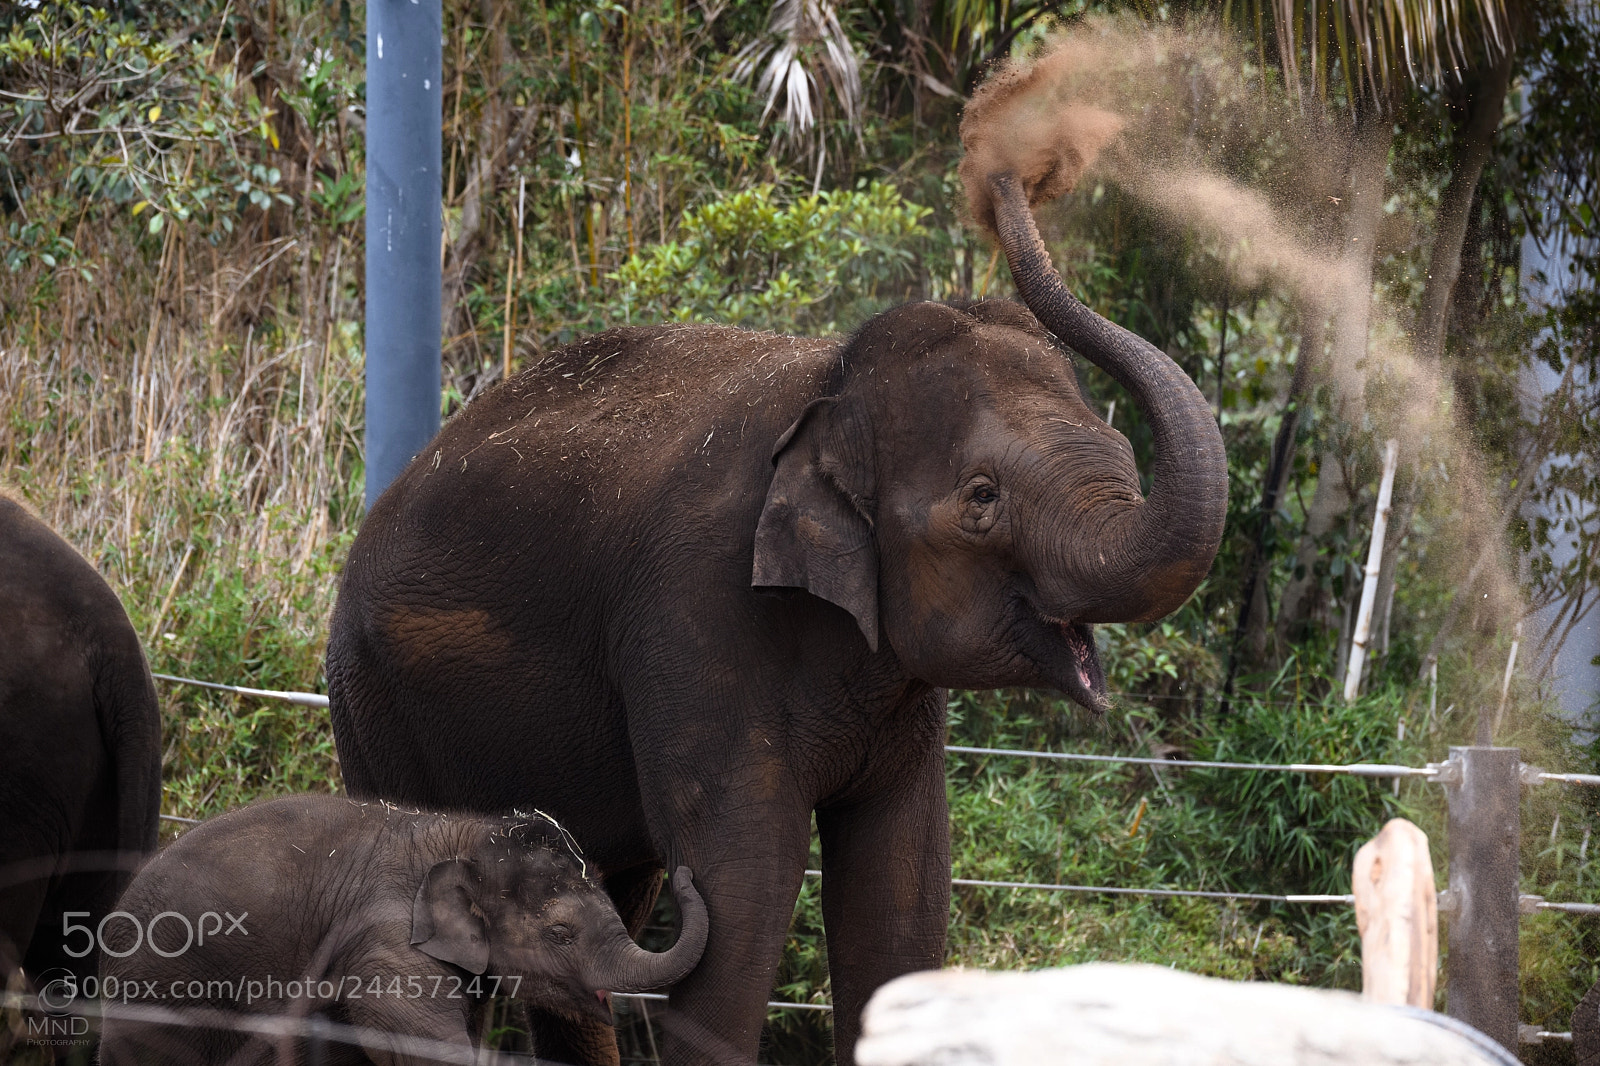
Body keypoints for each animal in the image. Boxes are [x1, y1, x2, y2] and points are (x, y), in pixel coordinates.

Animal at [325, 168, 1228, 1066]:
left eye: (1123, 455)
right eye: (982, 498)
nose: (1010, 177)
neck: (828, 380)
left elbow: (902, 884)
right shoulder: (694, 612)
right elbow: (740, 892)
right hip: (372, 707)